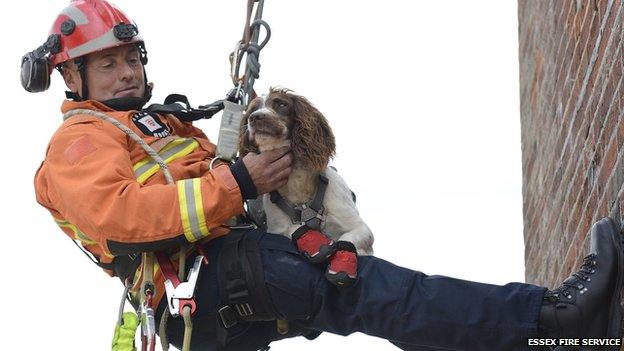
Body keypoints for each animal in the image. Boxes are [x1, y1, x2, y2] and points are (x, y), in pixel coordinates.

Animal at [239, 87, 376, 286]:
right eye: (251, 110)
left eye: (281, 104)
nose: (255, 117)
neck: (297, 184)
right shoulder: (276, 230)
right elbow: (293, 229)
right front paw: (316, 243)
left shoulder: (361, 228)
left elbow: (347, 239)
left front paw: (342, 264)